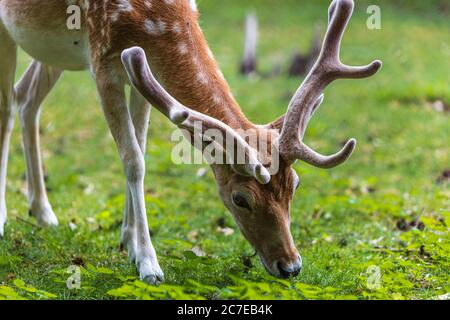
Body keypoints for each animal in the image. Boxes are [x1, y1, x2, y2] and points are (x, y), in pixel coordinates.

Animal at [0, 0, 382, 284]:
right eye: (240, 199)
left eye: (295, 185)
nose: (291, 266)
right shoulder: (103, 61)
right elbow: (133, 160)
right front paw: (149, 265)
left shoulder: (138, 73)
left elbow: (139, 147)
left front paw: (128, 241)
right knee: (8, 106)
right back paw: (5, 217)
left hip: (52, 51)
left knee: (27, 97)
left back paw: (43, 211)